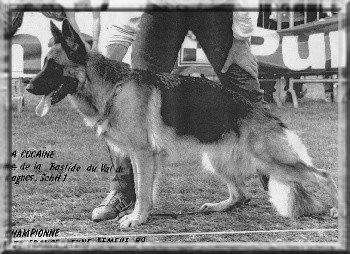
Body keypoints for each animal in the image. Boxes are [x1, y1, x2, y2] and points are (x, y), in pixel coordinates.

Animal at [26, 18, 338, 227]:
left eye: (53, 67)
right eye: (42, 64)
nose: (28, 87)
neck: (112, 87)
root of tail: (267, 114)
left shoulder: (143, 154)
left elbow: (142, 191)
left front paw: (136, 219)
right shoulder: (141, 157)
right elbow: (143, 189)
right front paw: (142, 215)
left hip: (274, 160)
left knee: (324, 175)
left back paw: (338, 209)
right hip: (217, 159)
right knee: (241, 195)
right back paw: (217, 206)